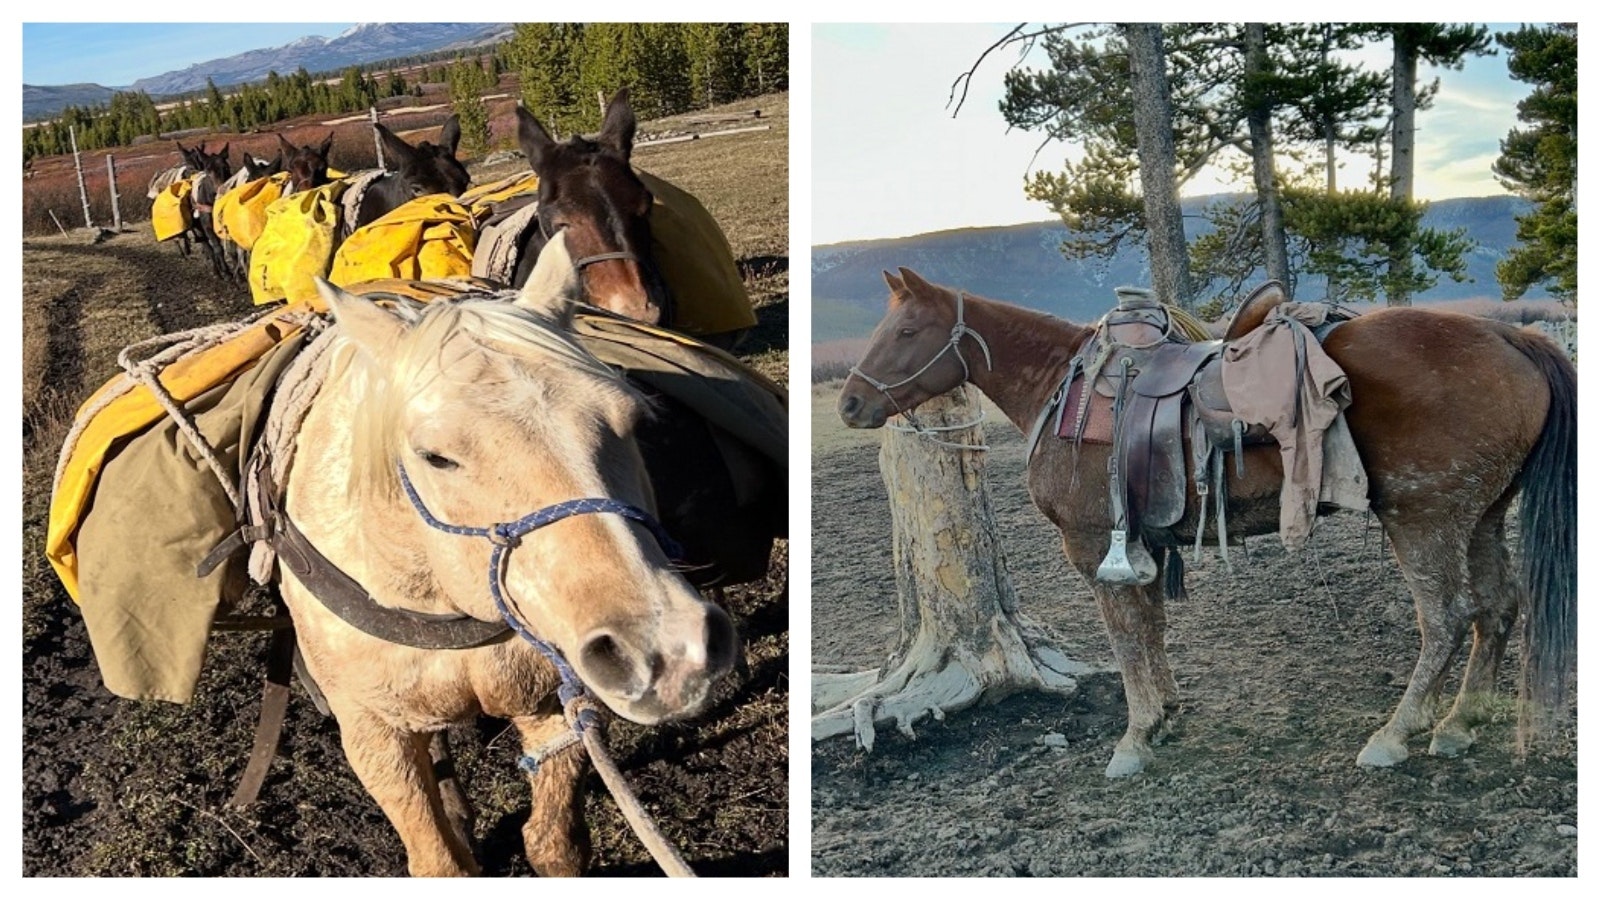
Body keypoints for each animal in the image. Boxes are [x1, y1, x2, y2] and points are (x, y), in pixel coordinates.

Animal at [277, 236, 740, 876]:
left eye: (632, 420)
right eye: (436, 456)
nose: (668, 653)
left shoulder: (553, 702)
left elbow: (555, 845)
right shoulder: (374, 735)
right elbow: (439, 861)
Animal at [837, 267, 1576, 778]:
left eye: (906, 332)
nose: (848, 403)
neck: (1061, 388)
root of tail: (1512, 333)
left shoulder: (1092, 547)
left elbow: (1127, 638)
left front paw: (1135, 738)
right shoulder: (1139, 544)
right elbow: (1150, 630)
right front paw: (1163, 717)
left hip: (1424, 518)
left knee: (1448, 618)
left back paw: (1397, 733)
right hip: (1481, 515)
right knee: (1498, 608)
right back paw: (1460, 722)